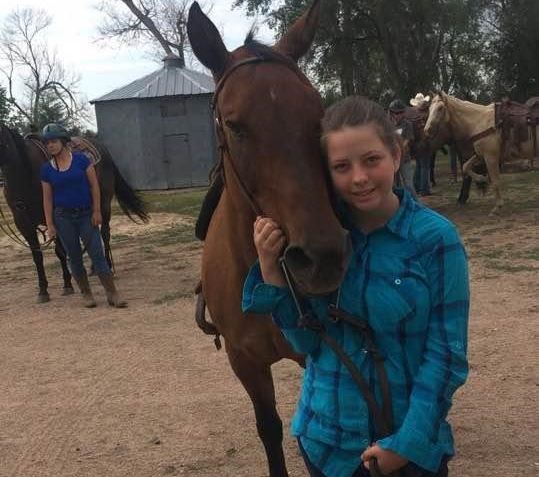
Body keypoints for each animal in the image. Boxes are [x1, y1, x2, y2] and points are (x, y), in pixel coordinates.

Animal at [0, 122, 149, 302]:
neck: (26, 172)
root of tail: (102, 148)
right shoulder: (23, 223)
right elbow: (37, 256)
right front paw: (43, 291)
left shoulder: (53, 217)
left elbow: (60, 251)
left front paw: (67, 285)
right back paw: (93, 268)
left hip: (104, 204)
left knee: (105, 233)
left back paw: (108, 267)